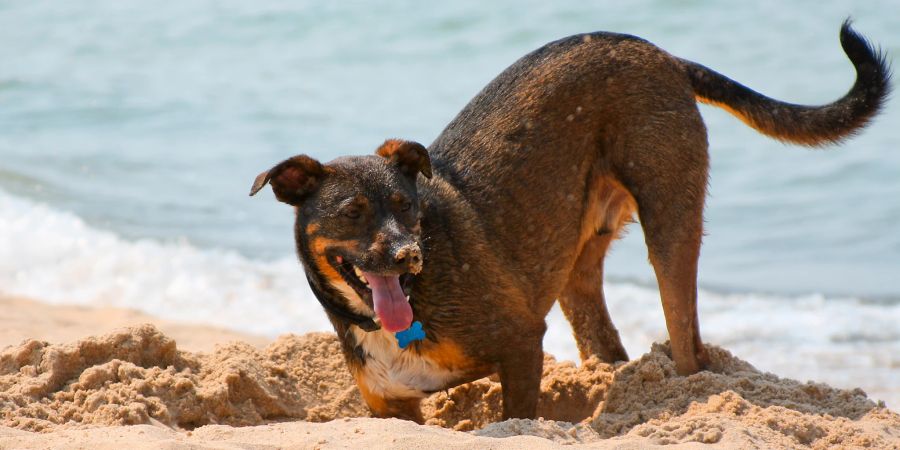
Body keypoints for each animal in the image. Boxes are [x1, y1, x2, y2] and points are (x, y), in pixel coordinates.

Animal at [250, 21, 888, 422]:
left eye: (409, 208)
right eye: (354, 213)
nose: (408, 255)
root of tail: (658, 53)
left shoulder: (520, 343)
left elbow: (516, 413)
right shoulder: (391, 406)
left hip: (669, 219)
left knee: (686, 338)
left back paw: (685, 381)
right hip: (575, 258)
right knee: (601, 332)